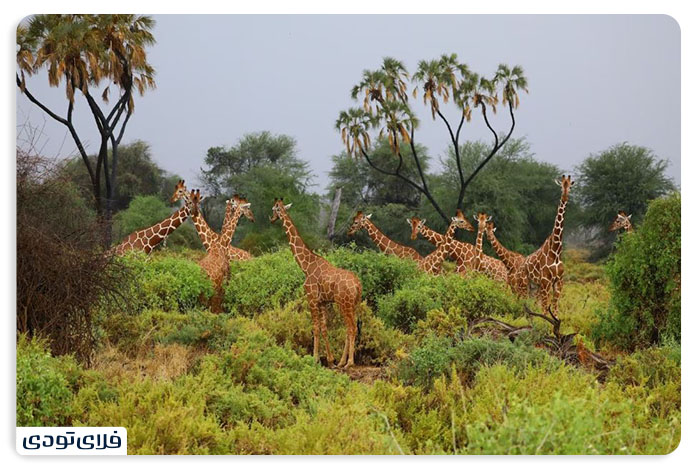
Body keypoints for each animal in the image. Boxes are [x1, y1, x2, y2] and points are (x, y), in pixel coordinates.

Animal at [270, 197, 362, 370]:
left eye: (274, 209)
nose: (271, 219)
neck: (306, 265)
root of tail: (357, 285)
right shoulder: (323, 302)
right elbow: (324, 329)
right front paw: (331, 360)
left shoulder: (311, 299)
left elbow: (315, 328)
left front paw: (315, 359)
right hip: (354, 304)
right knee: (350, 328)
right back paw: (342, 361)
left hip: (344, 303)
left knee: (351, 328)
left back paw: (349, 363)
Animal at [520, 174, 572, 320]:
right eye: (561, 186)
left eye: (570, 186)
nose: (565, 197)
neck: (556, 252)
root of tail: (523, 262)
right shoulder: (546, 281)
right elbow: (545, 309)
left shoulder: (558, 282)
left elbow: (554, 309)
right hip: (526, 283)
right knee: (525, 302)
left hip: (535, 286)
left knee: (533, 303)